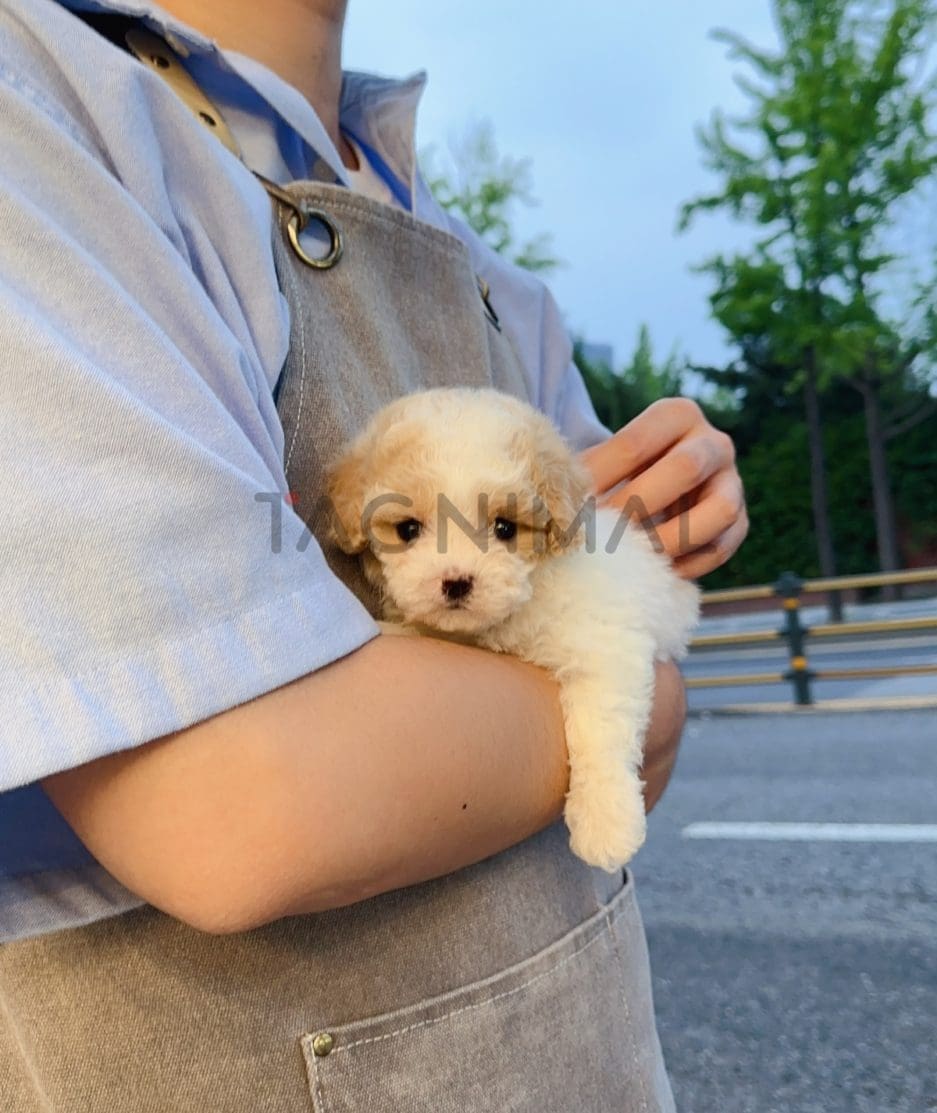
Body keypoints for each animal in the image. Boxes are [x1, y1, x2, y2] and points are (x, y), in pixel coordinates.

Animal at [324, 387, 698, 872]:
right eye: (408, 530)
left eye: (504, 528)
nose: (456, 581)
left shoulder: (606, 651)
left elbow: (599, 731)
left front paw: (605, 823)